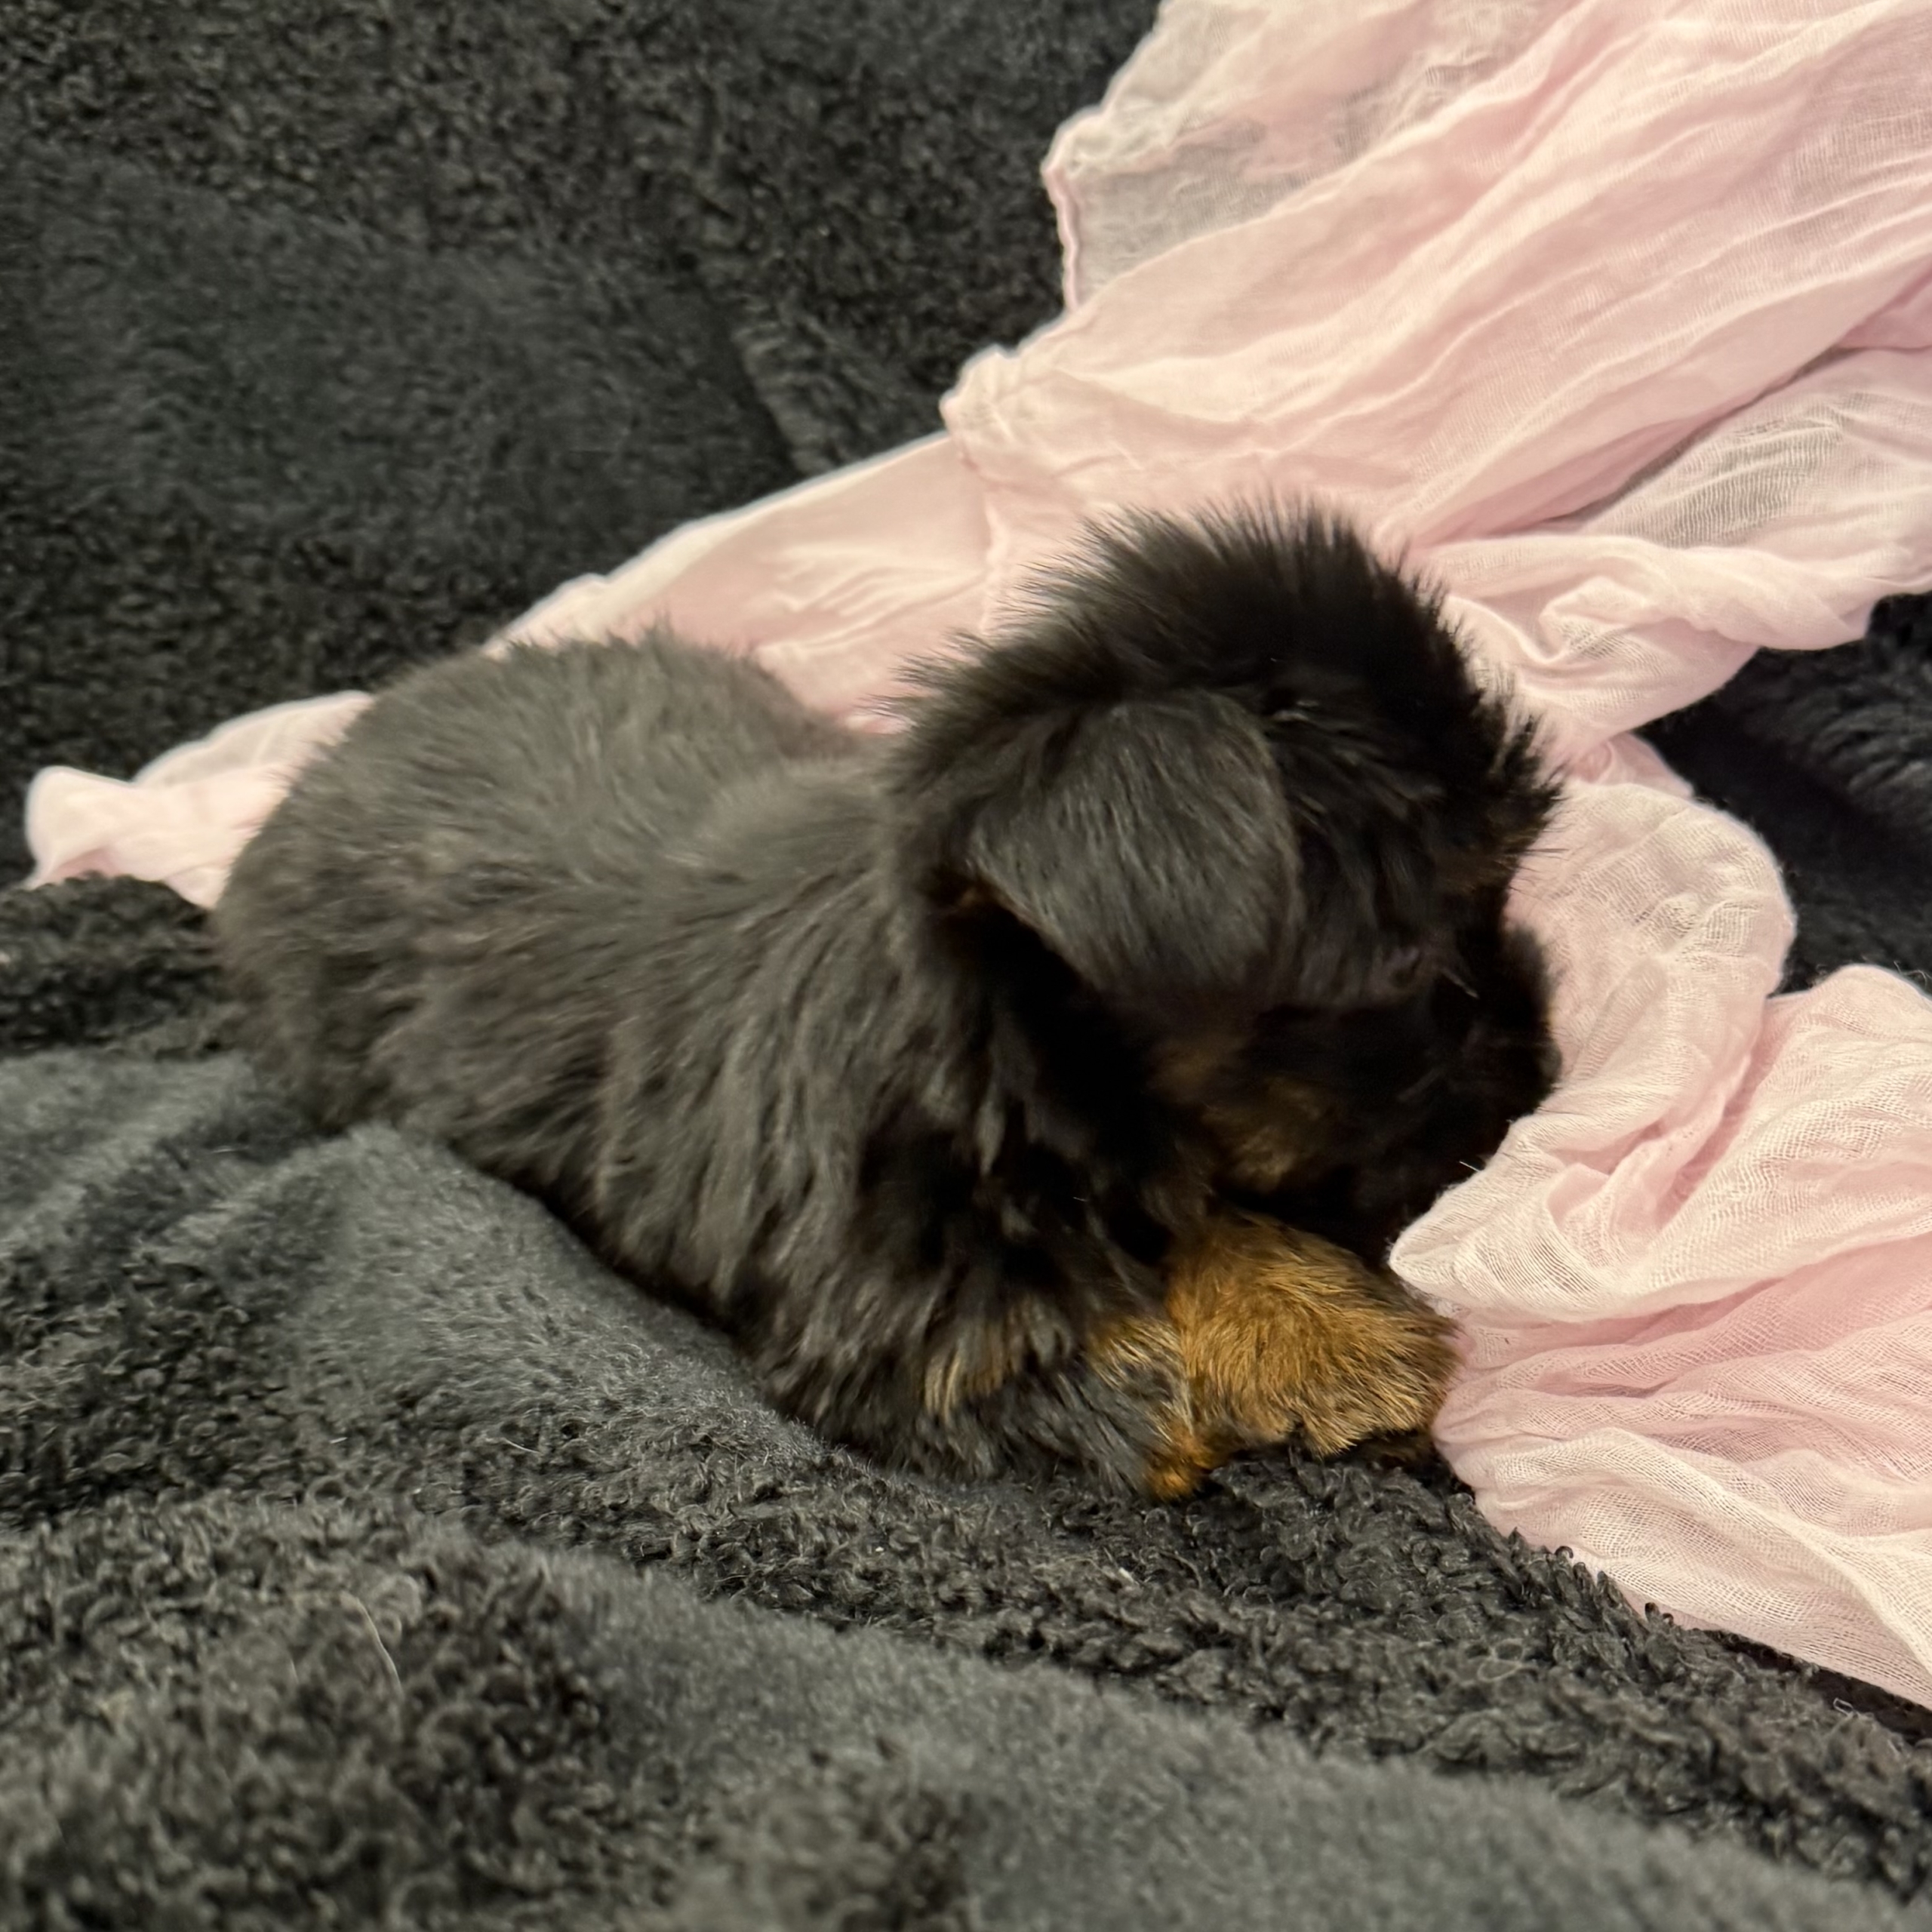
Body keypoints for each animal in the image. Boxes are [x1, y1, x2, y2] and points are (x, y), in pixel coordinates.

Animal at [214, 503, 1559, 1495]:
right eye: (1417, 968)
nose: (1541, 1061)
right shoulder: (914, 1316)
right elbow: (1123, 1294)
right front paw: (1328, 1347)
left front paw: (1315, 1323)